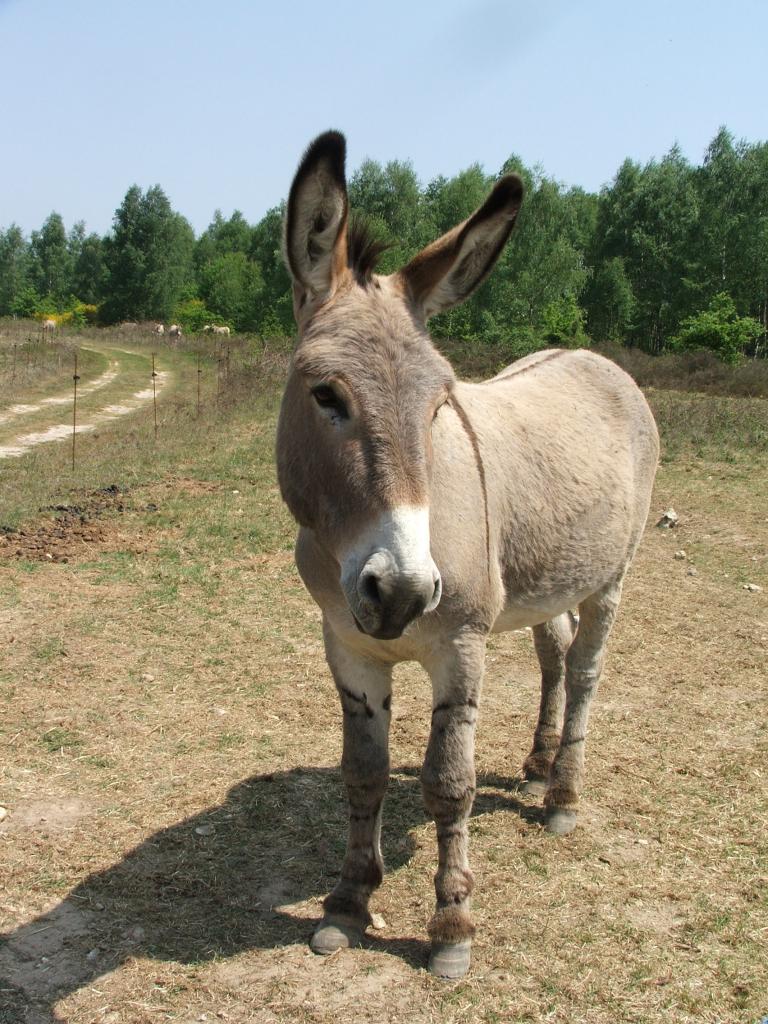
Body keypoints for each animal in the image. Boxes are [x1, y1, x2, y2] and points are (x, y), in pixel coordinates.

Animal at [275, 132, 659, 979]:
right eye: (326, 395)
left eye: (438, 405)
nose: (400, 591)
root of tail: (595, 357)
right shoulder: (346, 645)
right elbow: (363, 772)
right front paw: (347, 902)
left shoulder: (460, 645)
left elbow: (449, 783)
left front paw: (452, 927)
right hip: (545, 579)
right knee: (555, 655)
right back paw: (541, 762)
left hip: (611, 578)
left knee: (586, 671)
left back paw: (563, 796)